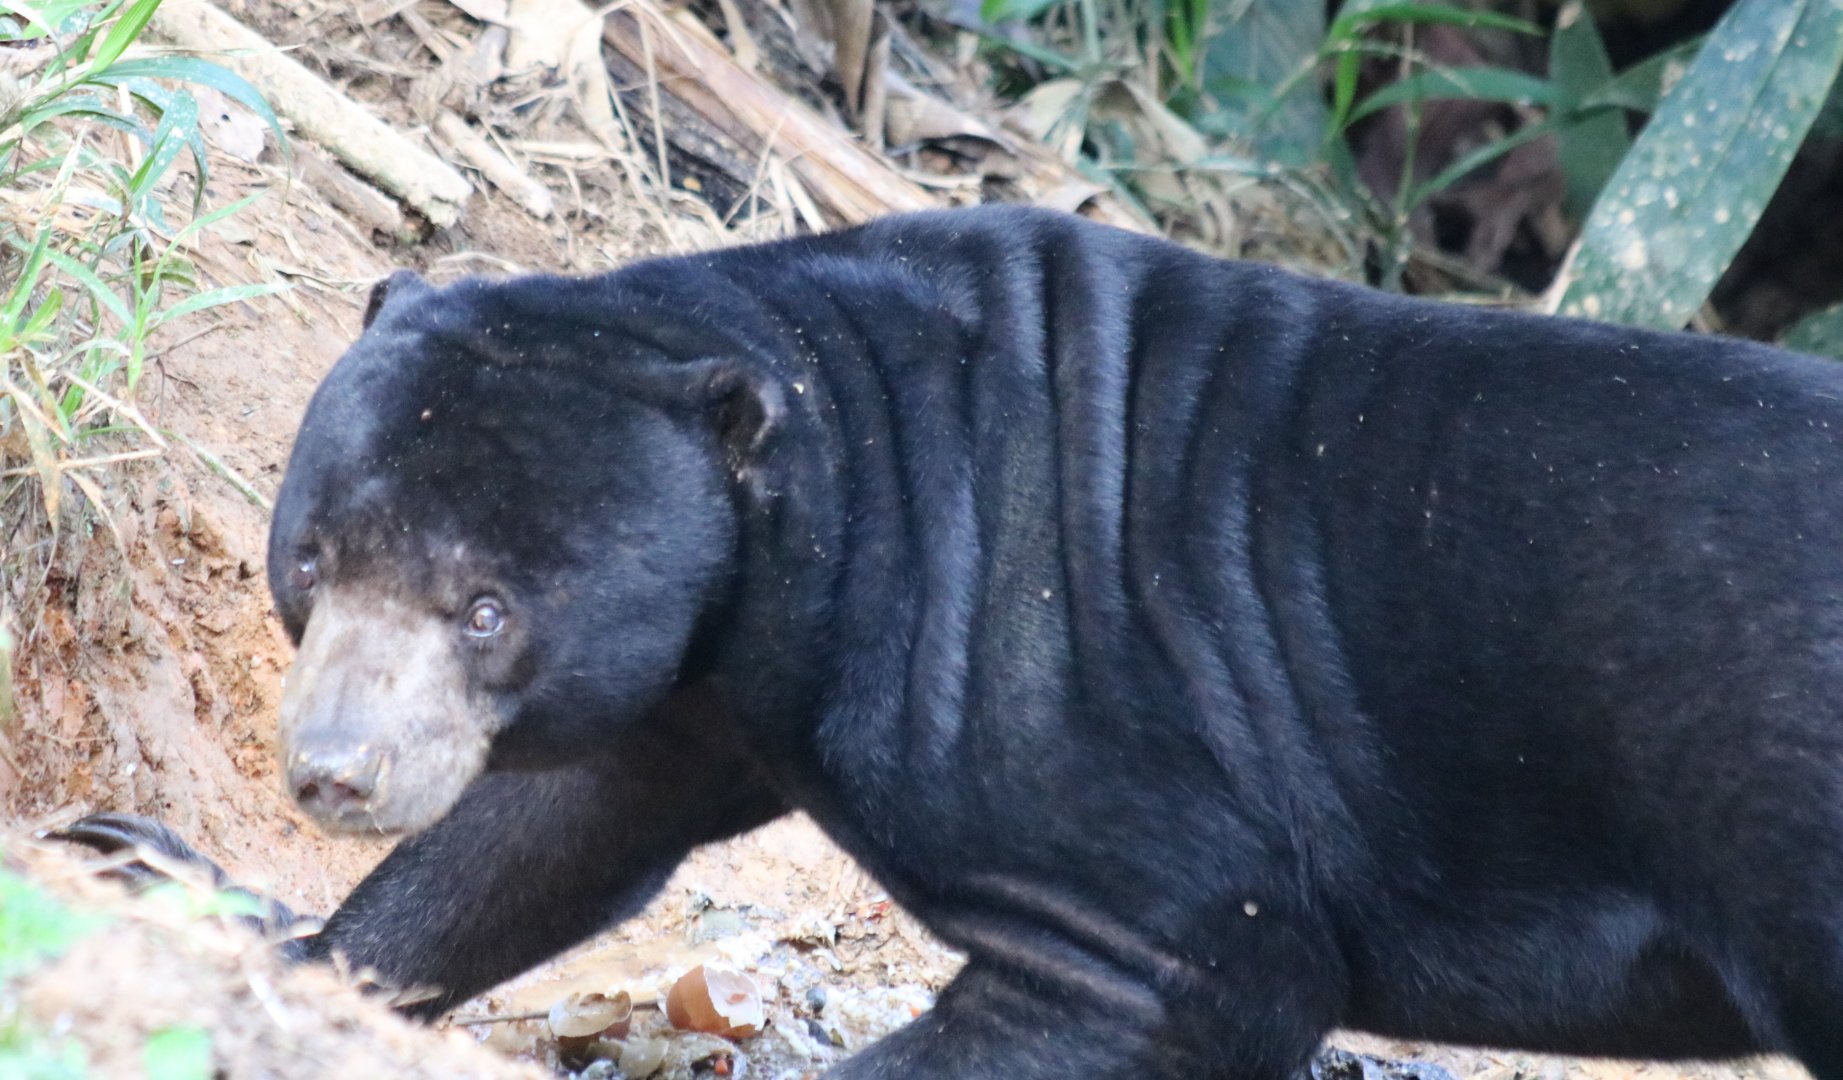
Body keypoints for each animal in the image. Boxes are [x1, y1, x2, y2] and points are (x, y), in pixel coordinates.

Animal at [60, 206, 1843, 1079]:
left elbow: (1181, 968)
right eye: (313, 559)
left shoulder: (1081, 773)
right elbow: (536, 838)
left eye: (487, 609)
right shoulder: (695, 687)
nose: (329, 773)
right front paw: (174, 881)